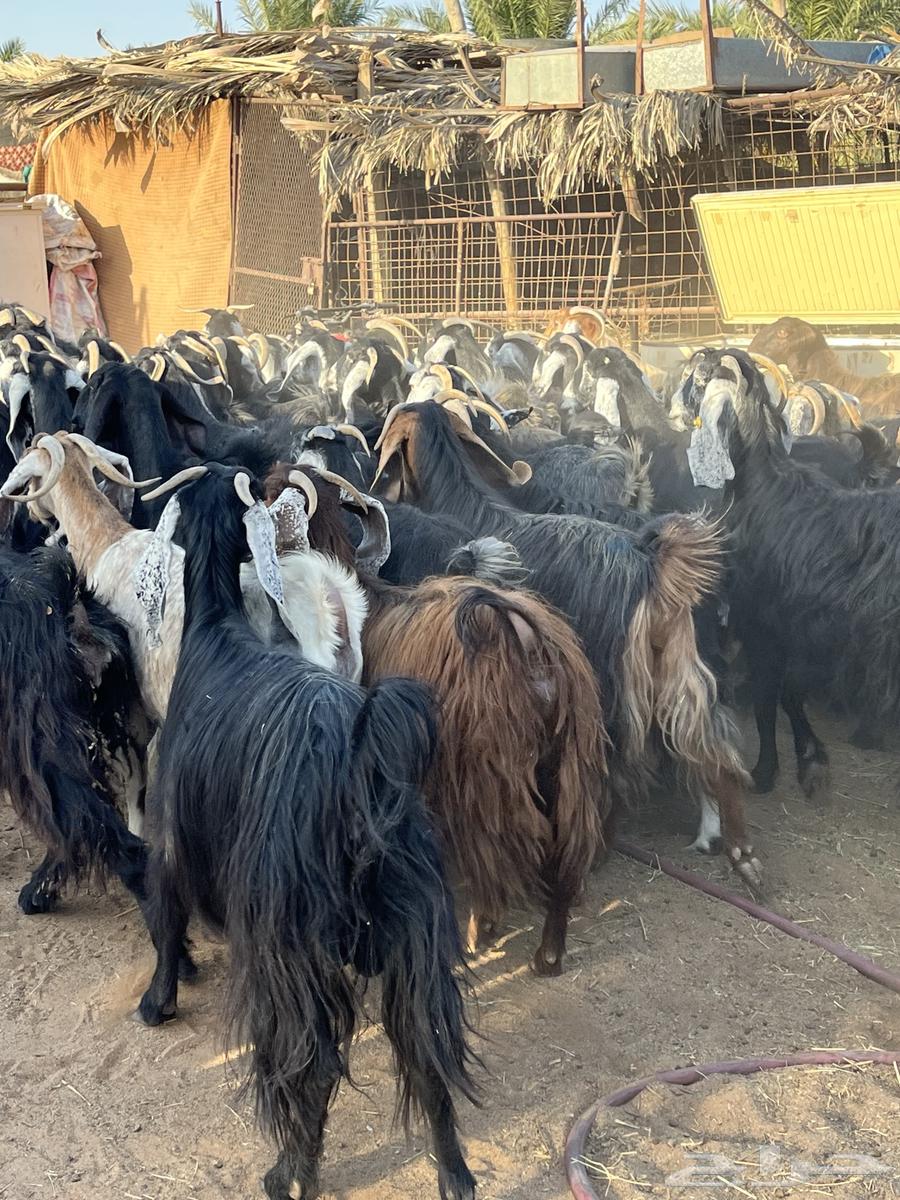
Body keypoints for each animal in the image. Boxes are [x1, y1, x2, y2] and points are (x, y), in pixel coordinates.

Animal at [135, 463, 477, 1200]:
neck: (215, 634)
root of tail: (360, 768)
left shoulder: (170, 834)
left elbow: (165, 915)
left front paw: (157, 1001)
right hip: (412, 935)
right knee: (428, 1055)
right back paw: (455, 1174)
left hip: (290, 942)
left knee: (309, 1063)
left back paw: (290, 1172)